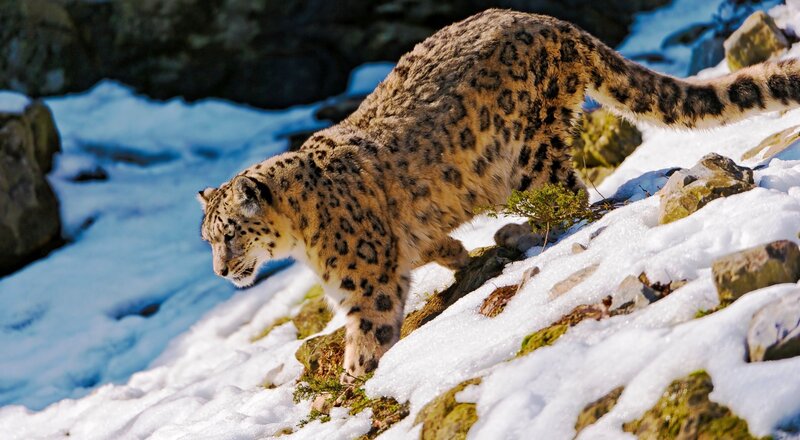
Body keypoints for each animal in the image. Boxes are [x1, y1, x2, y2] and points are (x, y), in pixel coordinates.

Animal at [198, 9, 800, 382]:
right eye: (208, 239)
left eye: (231, 234)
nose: (221, 272)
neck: (302, 238)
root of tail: (551, 22)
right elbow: (429, 244)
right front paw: (454, 254)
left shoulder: (365, 282)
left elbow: (370, 328)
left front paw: (355, 376)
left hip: (530, 153)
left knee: (570, 197)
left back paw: (516, 230)